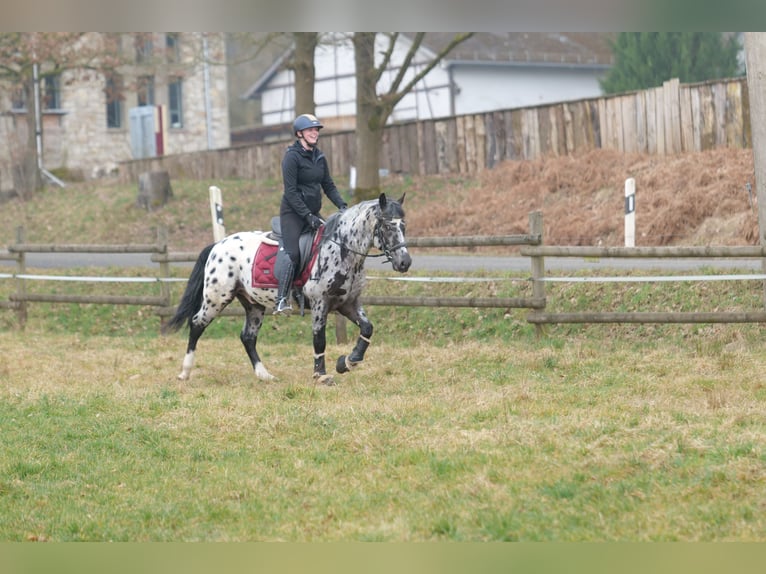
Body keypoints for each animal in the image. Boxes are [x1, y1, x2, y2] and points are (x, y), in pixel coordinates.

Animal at [163, 194, 414, 388]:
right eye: (388, 226)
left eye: (403, 226)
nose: (405, 262)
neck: (342, 250)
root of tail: (218, 245)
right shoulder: (320, 303)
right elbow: (319, 339)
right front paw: (321, 376)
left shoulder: (348, 304)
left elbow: (367, 328)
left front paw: (348, 362)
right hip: (217, 297)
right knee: (197, 324)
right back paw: (185, 372)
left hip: (253, 304)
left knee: (247, 337)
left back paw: (264, 375)